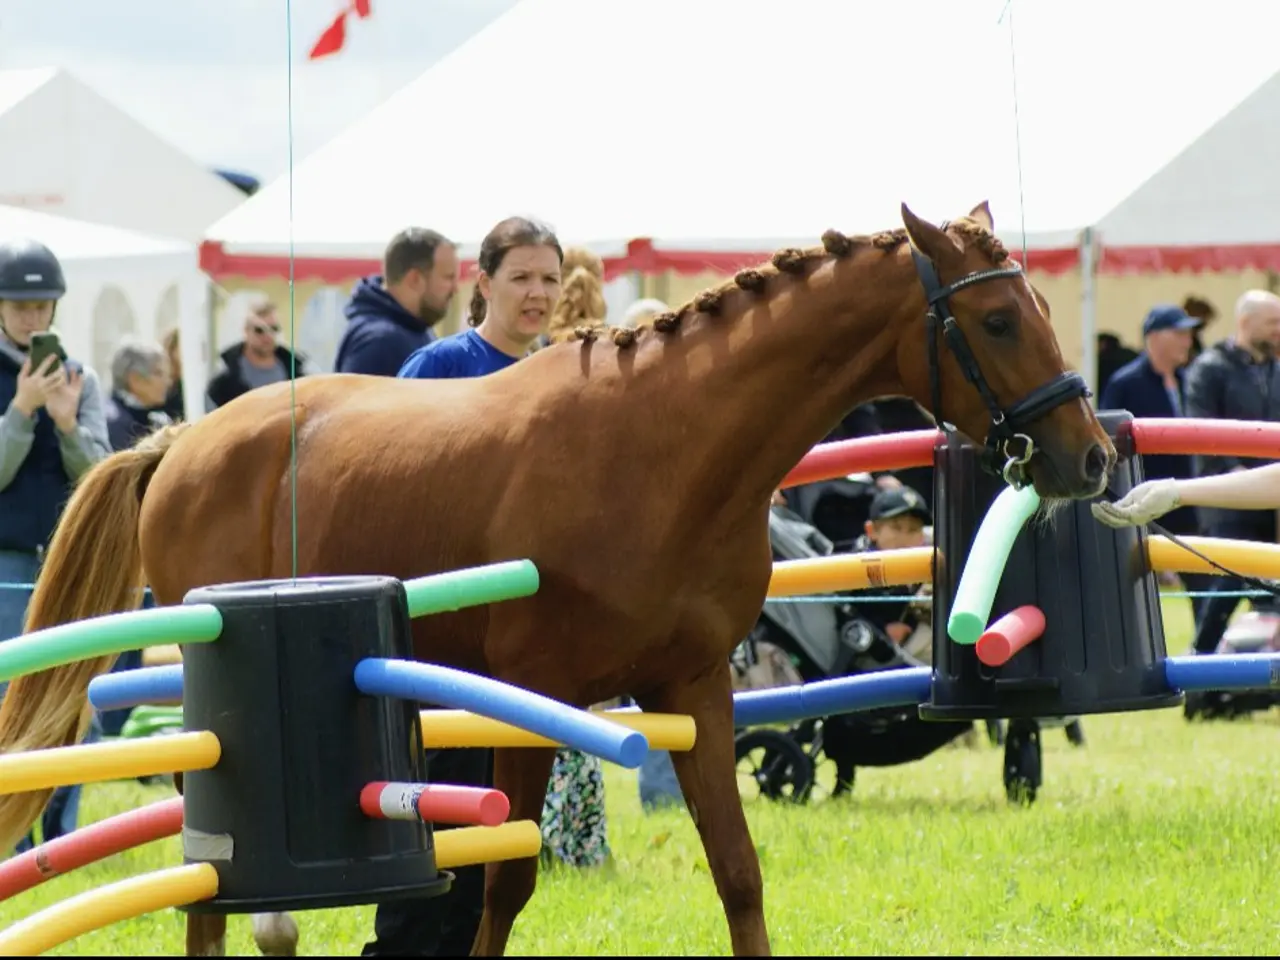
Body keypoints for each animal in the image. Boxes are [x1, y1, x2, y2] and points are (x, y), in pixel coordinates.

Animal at [0, 202, 1115, 956]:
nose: (1090, 456)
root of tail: (177, 443)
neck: (666, 453)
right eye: (999, 322)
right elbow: (504, 886)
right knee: (207, 892)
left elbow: (739, 872)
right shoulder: (533, 701)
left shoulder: (699, 693)